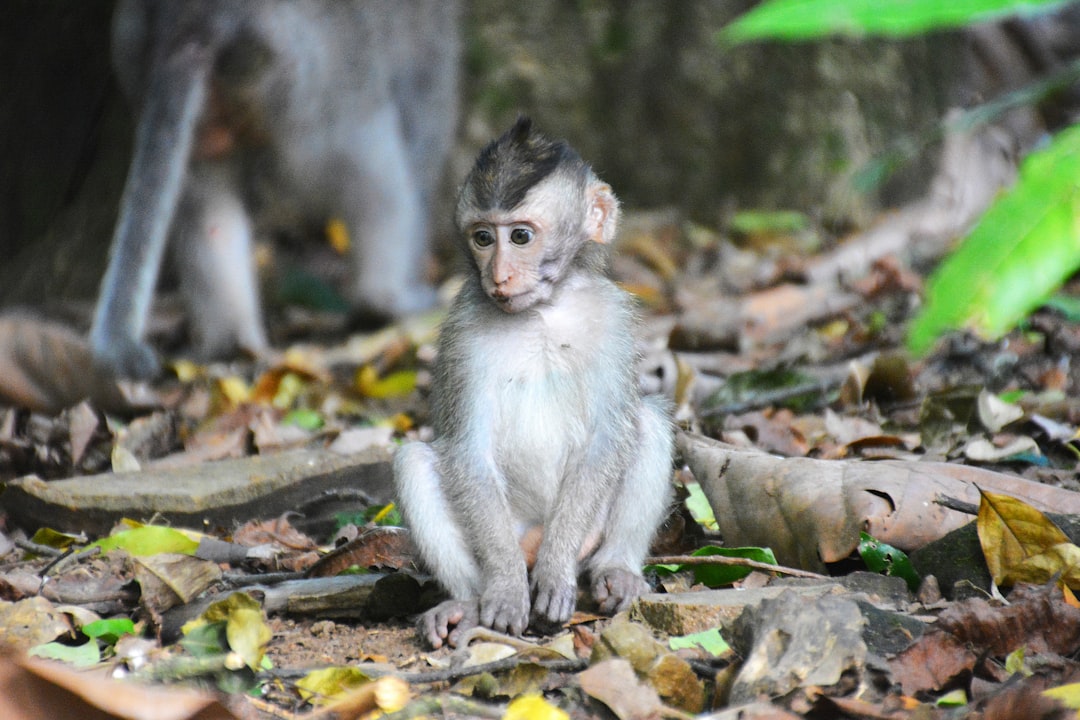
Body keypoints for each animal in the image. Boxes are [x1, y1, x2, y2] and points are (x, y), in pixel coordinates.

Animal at [90, 0, 457, 379]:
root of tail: (193, 19)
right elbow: (423, 140)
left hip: (143, 59)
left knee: (207, 207)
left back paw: (233, 343)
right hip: (313, 79)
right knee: (375, 167)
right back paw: (388, 299)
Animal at [393, 118, 669, 647]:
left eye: (520, 236)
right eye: (482, 237)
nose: (499, 275)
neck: (542, 311)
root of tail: (535, 532)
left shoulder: (612, 320)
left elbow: (608, 437)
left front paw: (557, 569)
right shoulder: (463, 333)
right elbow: (468, 450)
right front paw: (504, 588)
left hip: (589, 531)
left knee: (648, 422)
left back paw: (616, 569)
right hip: (512, 529)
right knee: (414, 460)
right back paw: (468, 601)